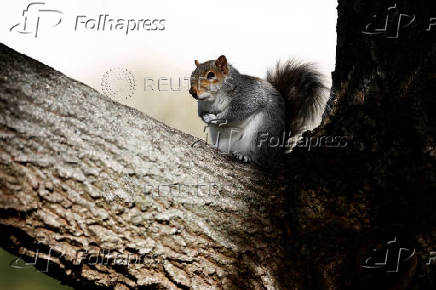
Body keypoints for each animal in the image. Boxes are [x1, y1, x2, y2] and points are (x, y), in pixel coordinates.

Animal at [189, 55, 328, 168]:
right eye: (192, 74)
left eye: (211, 75)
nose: (192, 92)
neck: (213, 98)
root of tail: (276, 154)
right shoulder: (202, 106)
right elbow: (201, 114)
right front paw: (206, 118)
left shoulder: (248, 97)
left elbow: (236, 112)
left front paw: (216, 118)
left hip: (261, 133)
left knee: (257, 157)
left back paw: (245, 155)